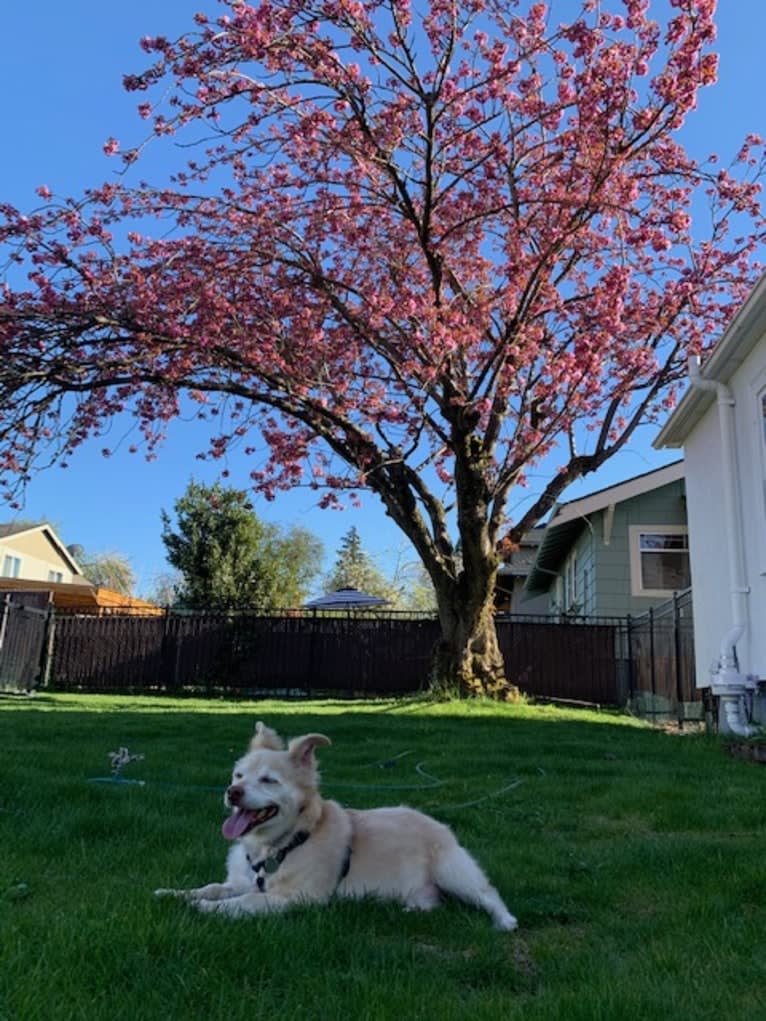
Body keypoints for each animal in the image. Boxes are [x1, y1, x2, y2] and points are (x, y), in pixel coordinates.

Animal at [154, 722, 518, 931]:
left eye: (269, 780)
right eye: (238, 776)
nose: (232, 792)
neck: (281, 846)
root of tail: (435, 821)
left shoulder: (296, 898)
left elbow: (242, 904)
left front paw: (204, 909)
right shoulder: (242, 881)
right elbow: (213, 887)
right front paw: (175, 894)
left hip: (453, 870)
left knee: (489, 893)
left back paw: (505, 921)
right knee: (434, 901)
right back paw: (411, 909)